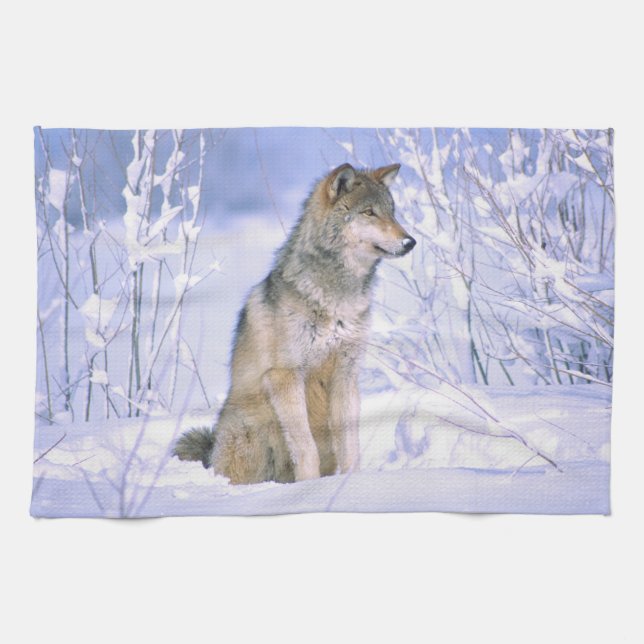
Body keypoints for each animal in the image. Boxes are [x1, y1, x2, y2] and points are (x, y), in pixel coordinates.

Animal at [173, 162, 415, 484]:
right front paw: (309, 488)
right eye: (369, 212)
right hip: (250, 430)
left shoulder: (346, 375)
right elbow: (304, 447)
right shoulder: (285, 376)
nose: (410, 241)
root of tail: (211, 453)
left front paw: (350, 483)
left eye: (392, 212)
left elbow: (350, 446)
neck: (336, 299)